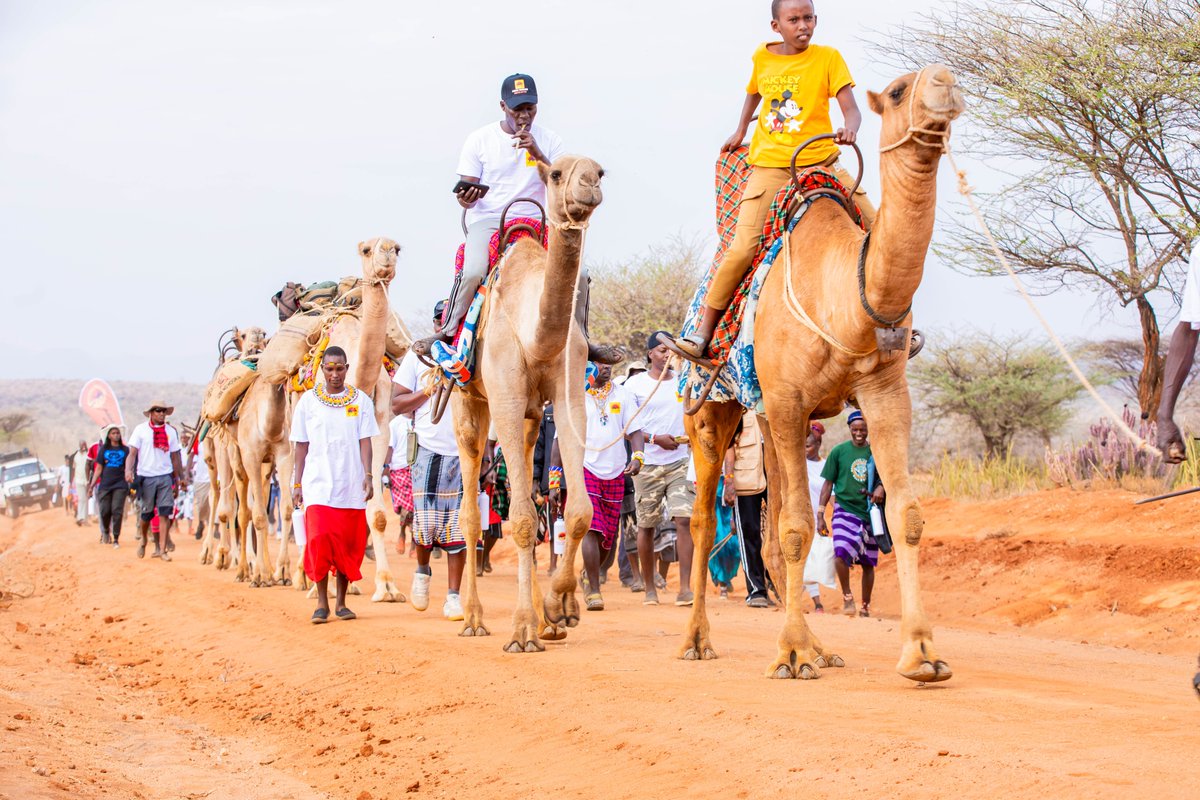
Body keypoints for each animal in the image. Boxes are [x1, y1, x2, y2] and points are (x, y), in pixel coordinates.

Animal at [449, 154, 604, 651]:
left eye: (600, 170)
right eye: (556, 173)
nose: (588, 186)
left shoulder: (569, 396)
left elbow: (577, 512)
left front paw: (556, 609)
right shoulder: (505, 397)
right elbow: (517, 519)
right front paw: (521, 630)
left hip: (534, 419)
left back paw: (545, 620)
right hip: (468, 401)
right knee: (470, 512)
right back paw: (473, 619)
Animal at [681, 66, 965, 681]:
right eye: (901, 90)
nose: (945, 82)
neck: (845, 297)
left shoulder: (882, 391)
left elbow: (904, 514)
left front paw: (923, 654)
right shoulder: (788, 400)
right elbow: (793, 527)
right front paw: (788, 653)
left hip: (766, 416)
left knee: (774, 515)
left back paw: (820, 649)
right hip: (710, 407)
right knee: (702, 516)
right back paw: (697, 640)